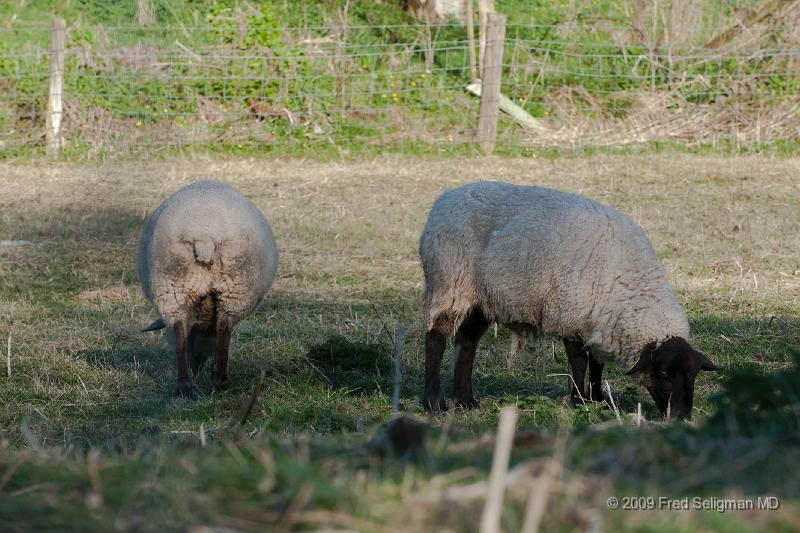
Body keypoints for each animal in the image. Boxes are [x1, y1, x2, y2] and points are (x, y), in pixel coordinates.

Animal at [418, 181, 720, 418]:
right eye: (666, 374)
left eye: (693, 376)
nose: (682, 416)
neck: (628, 281)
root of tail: (444, 199)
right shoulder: (570, 315)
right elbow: (579, 362)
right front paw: (578, 400)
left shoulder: (598, 321)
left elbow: (597, 365)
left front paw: (598, 400)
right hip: (449, 280)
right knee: (436, 338)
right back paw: (434, 404)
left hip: (482, 298)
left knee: (466, 341)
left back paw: (465, 401)